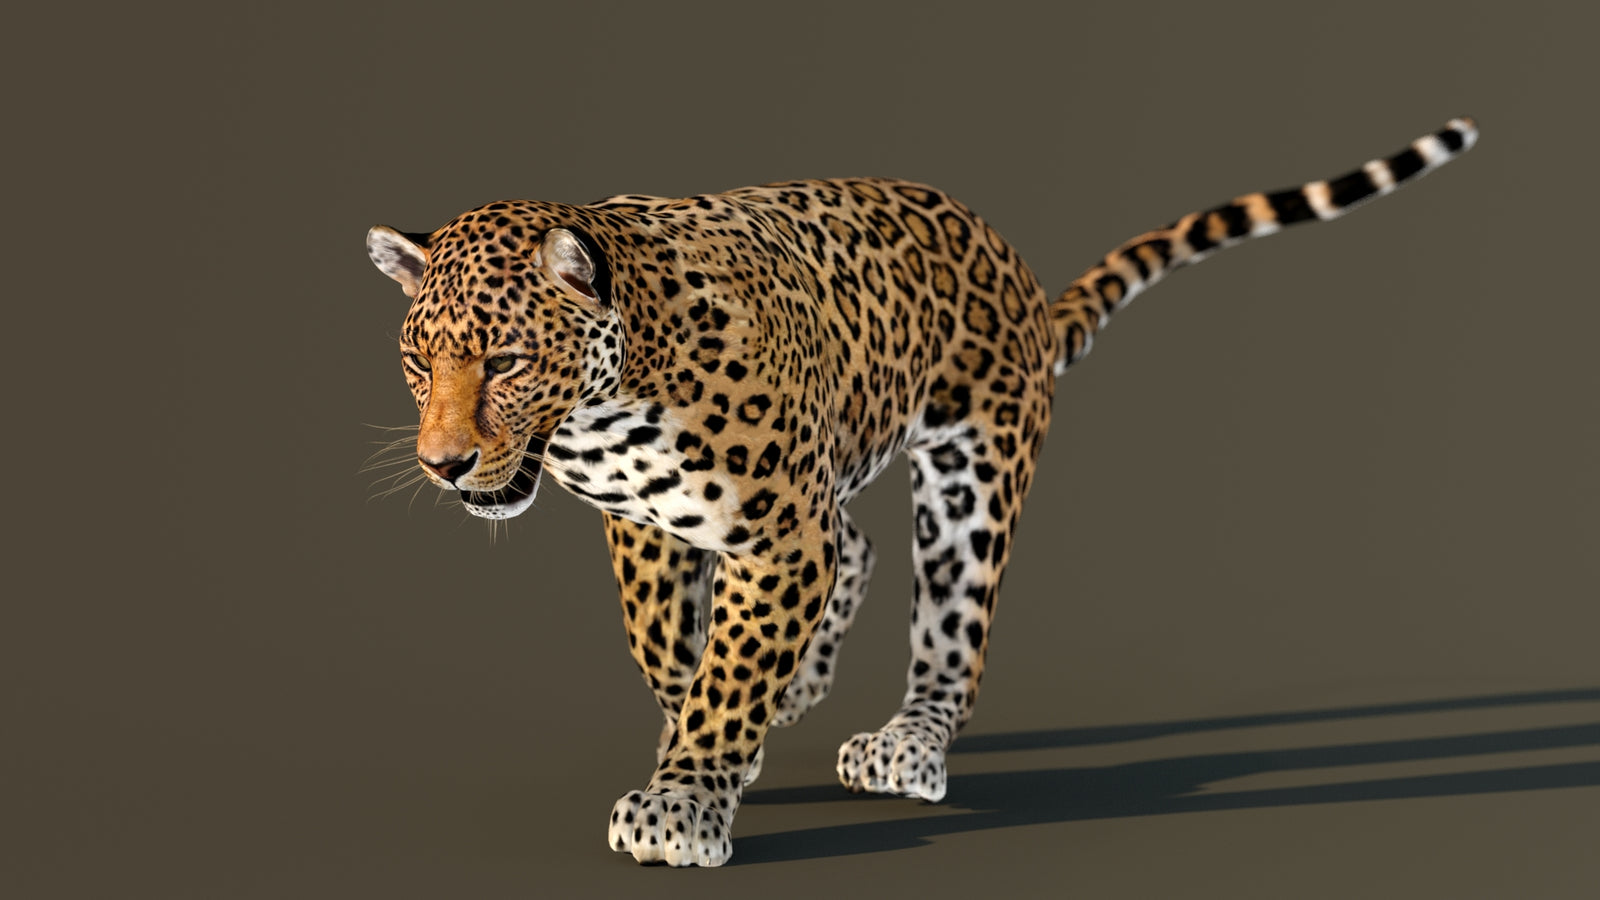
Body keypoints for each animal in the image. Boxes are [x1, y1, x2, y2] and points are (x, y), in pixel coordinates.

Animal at [365, 118, 1477, 866]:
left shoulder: (776, 529)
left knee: (947, 632)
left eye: (505, 361)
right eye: (419, 362)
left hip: (969, 479)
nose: (444, 464)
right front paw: (713, 743)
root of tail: (1012, 269)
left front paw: (684, 800)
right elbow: (667, 648)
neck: (609, 402)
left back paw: (907, 742)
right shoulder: (650, 524)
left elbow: (726, 669)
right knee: (853, 550)